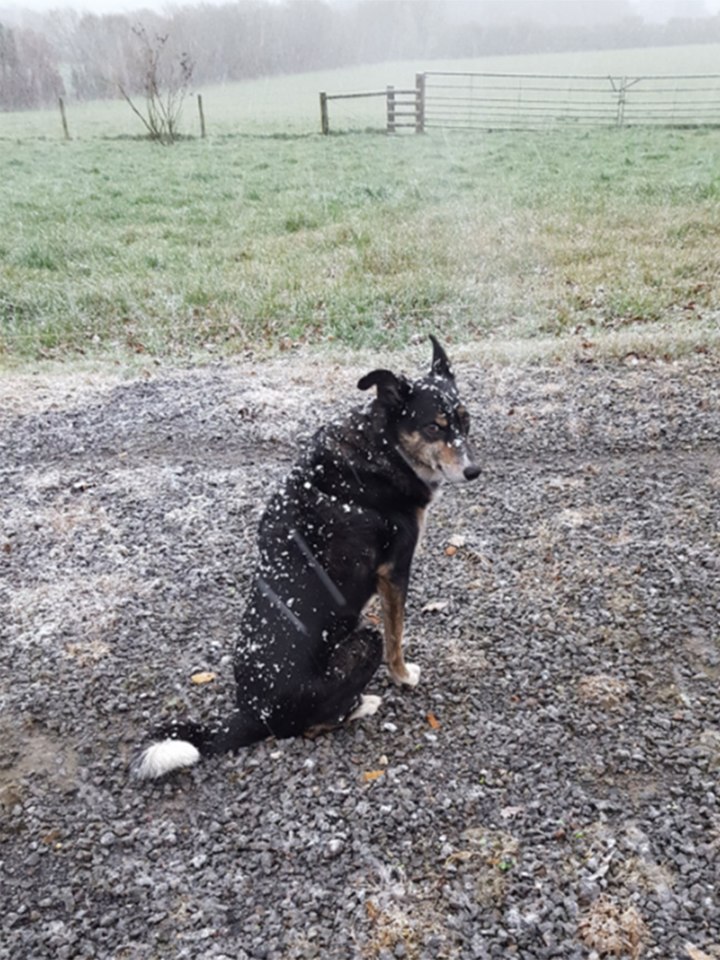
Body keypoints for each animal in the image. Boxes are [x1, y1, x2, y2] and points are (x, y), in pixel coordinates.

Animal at [134, 334, 478, 776]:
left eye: (464, 422)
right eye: (434, 427)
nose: (474, 471)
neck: (381, 446)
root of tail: (254, 714)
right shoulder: (395, 571)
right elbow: (395, 637)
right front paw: (403, 676)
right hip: (361, 639)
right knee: (317, 724)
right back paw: (363, 704)